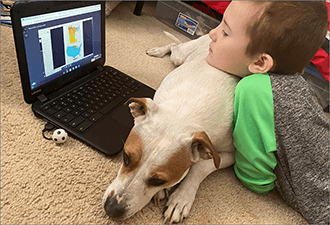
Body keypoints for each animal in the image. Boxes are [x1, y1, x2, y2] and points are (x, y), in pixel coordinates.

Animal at [102, 31, 238, 223]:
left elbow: (200, 167)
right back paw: (158, 51)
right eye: (126, 157)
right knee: (174, 47)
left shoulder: (229, 155)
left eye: (158, 180)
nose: (112, 209)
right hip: (180, 56)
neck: (185, 112)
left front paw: (181, 198)